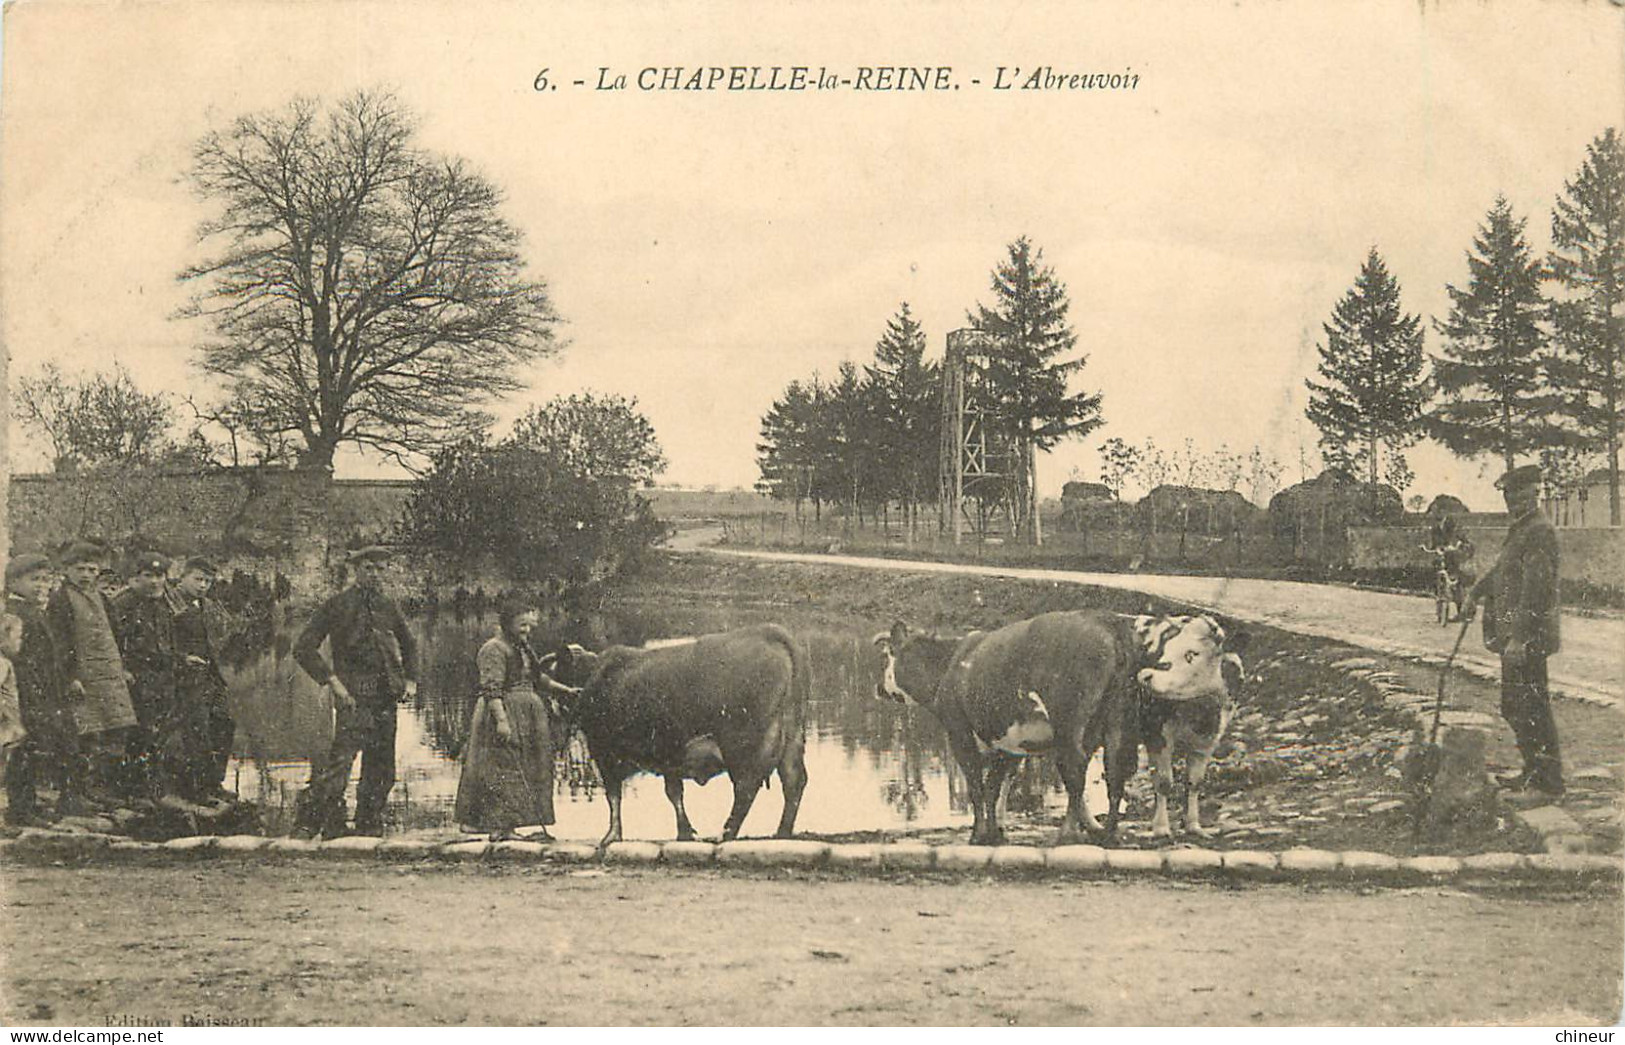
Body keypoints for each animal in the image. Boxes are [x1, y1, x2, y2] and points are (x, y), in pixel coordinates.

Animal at [552, 624, 812, 845]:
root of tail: (769, 632)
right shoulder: (669, 755)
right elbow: (674, 793)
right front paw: (685, 832)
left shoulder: (603, 751)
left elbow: (613, 796)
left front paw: (611, 836)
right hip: (791, 737)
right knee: (793, 781)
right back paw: (782, 832)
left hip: (742, 744)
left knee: (746, 787)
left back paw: (725, 834)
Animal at [877, 607, 1241, 845]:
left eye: (887, 657)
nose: (879, 688)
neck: (951, 664)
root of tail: (1107, 625)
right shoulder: (1009, 743)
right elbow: (996, 786)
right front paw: (995, 832)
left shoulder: (959, 733)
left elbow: (978, 786)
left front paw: (979, 834)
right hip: (1115, 720)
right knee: (1114, 771)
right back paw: (1108, 834)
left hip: (1071, 723)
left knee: (1076, 772)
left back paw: (1067, 833)